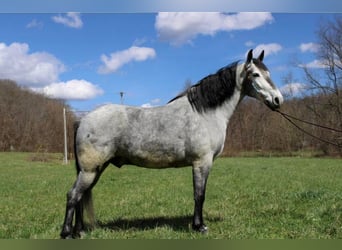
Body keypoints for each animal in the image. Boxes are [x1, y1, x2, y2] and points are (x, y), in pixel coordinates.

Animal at [60, 49, 284, 238]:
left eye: (268, 72)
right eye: (255, 74)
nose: (278, 100)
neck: (205, 114)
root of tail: (84, 119)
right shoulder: (202, 162)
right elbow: (199, 194)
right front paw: (199, 226)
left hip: (95, 170)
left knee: (80, 197)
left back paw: (79, 232)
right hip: (90, 170)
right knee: (73, 195)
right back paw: (66, 233)